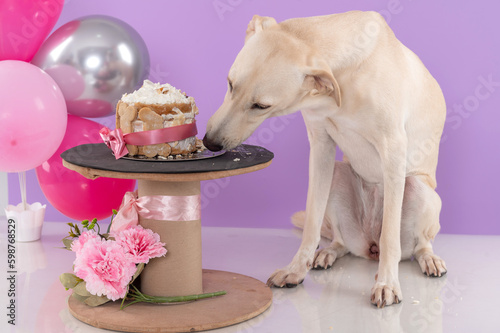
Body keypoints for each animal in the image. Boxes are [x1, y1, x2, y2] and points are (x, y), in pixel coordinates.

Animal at [205, 10, 448, 306]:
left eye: (261, 106)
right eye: (230, 84)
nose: (209, 142)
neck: (345, 74)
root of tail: (369, 246)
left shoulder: (393, 149)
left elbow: (390, 236)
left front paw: (388, 283)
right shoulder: (321, 146)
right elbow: (312, 221)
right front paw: (296, 269)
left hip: (418, 189)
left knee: (419, 243)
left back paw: (428, 258)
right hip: (338, 176)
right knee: (340, 241)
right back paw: (328, 252)